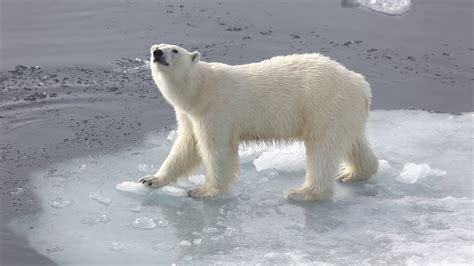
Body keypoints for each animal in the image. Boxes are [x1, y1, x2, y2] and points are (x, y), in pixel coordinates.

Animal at [137, 44, 378, 202]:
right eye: (156, 46)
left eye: (175, 50)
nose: (157, 53)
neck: (200, 89)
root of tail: (361, 85)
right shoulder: (189, 116)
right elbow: (186, 147)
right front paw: (151, 179)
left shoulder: (216, 111)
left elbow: (217, 151)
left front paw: (204, 191)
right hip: (344, 111)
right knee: (353, 142)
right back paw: (352, 173)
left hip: (324, 104)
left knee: (322, 150)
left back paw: (303, 193)